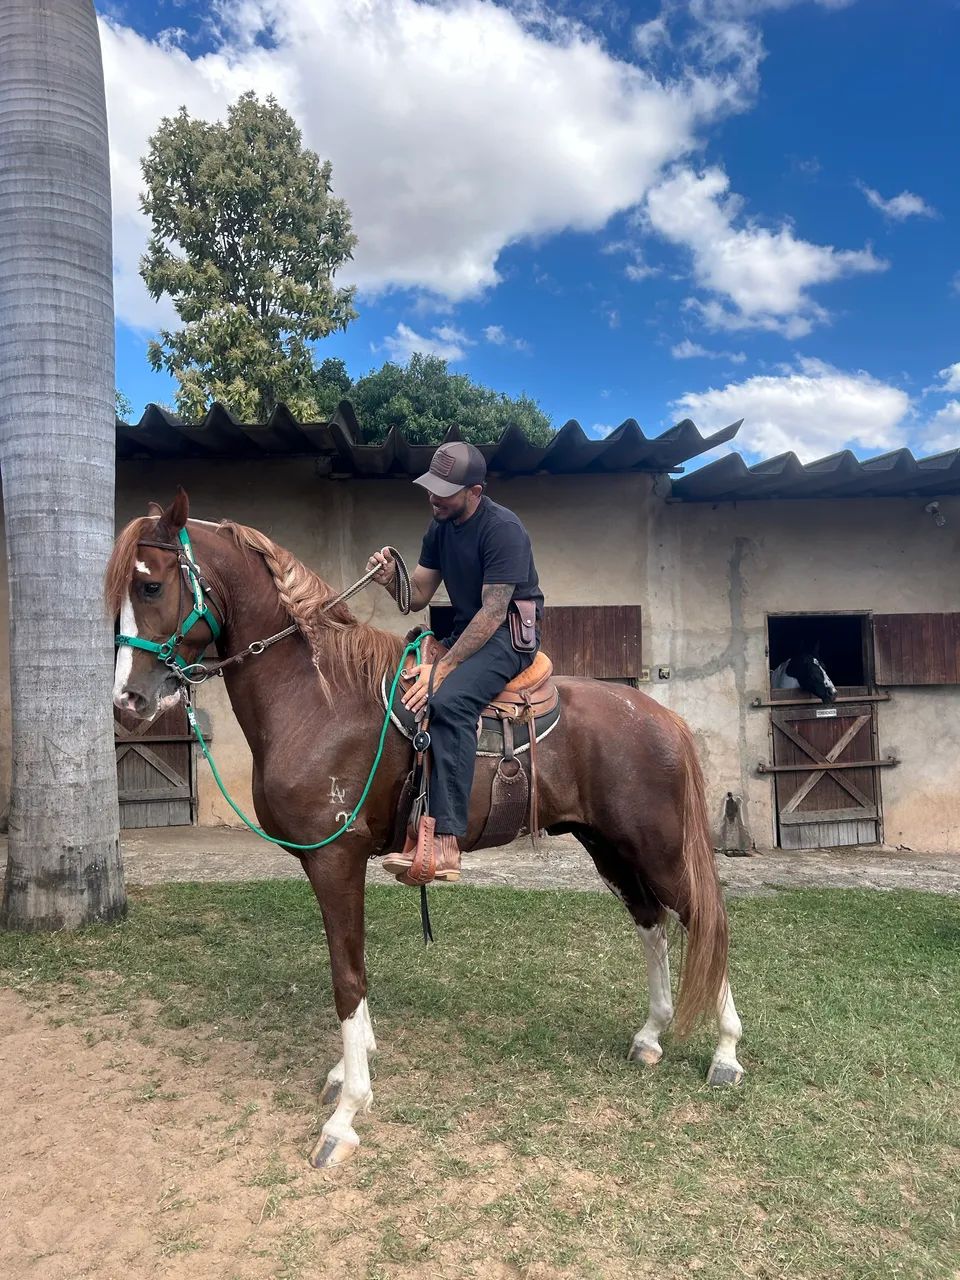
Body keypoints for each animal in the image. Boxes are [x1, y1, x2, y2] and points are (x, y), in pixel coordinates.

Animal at [107, 489, 744, 1169]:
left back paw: (726, 1053)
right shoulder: (333, 863)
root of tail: (659, 716)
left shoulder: (335, 859)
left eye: (150, 586)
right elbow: (353, 968)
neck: (319, 697)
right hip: (610, 848)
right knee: (652, 925)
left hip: (657, 849)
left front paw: (345, 1114)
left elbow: (347, 976)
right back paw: (651, 1034)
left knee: (705, 919)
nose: (128, 703)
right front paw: (347, 1071)